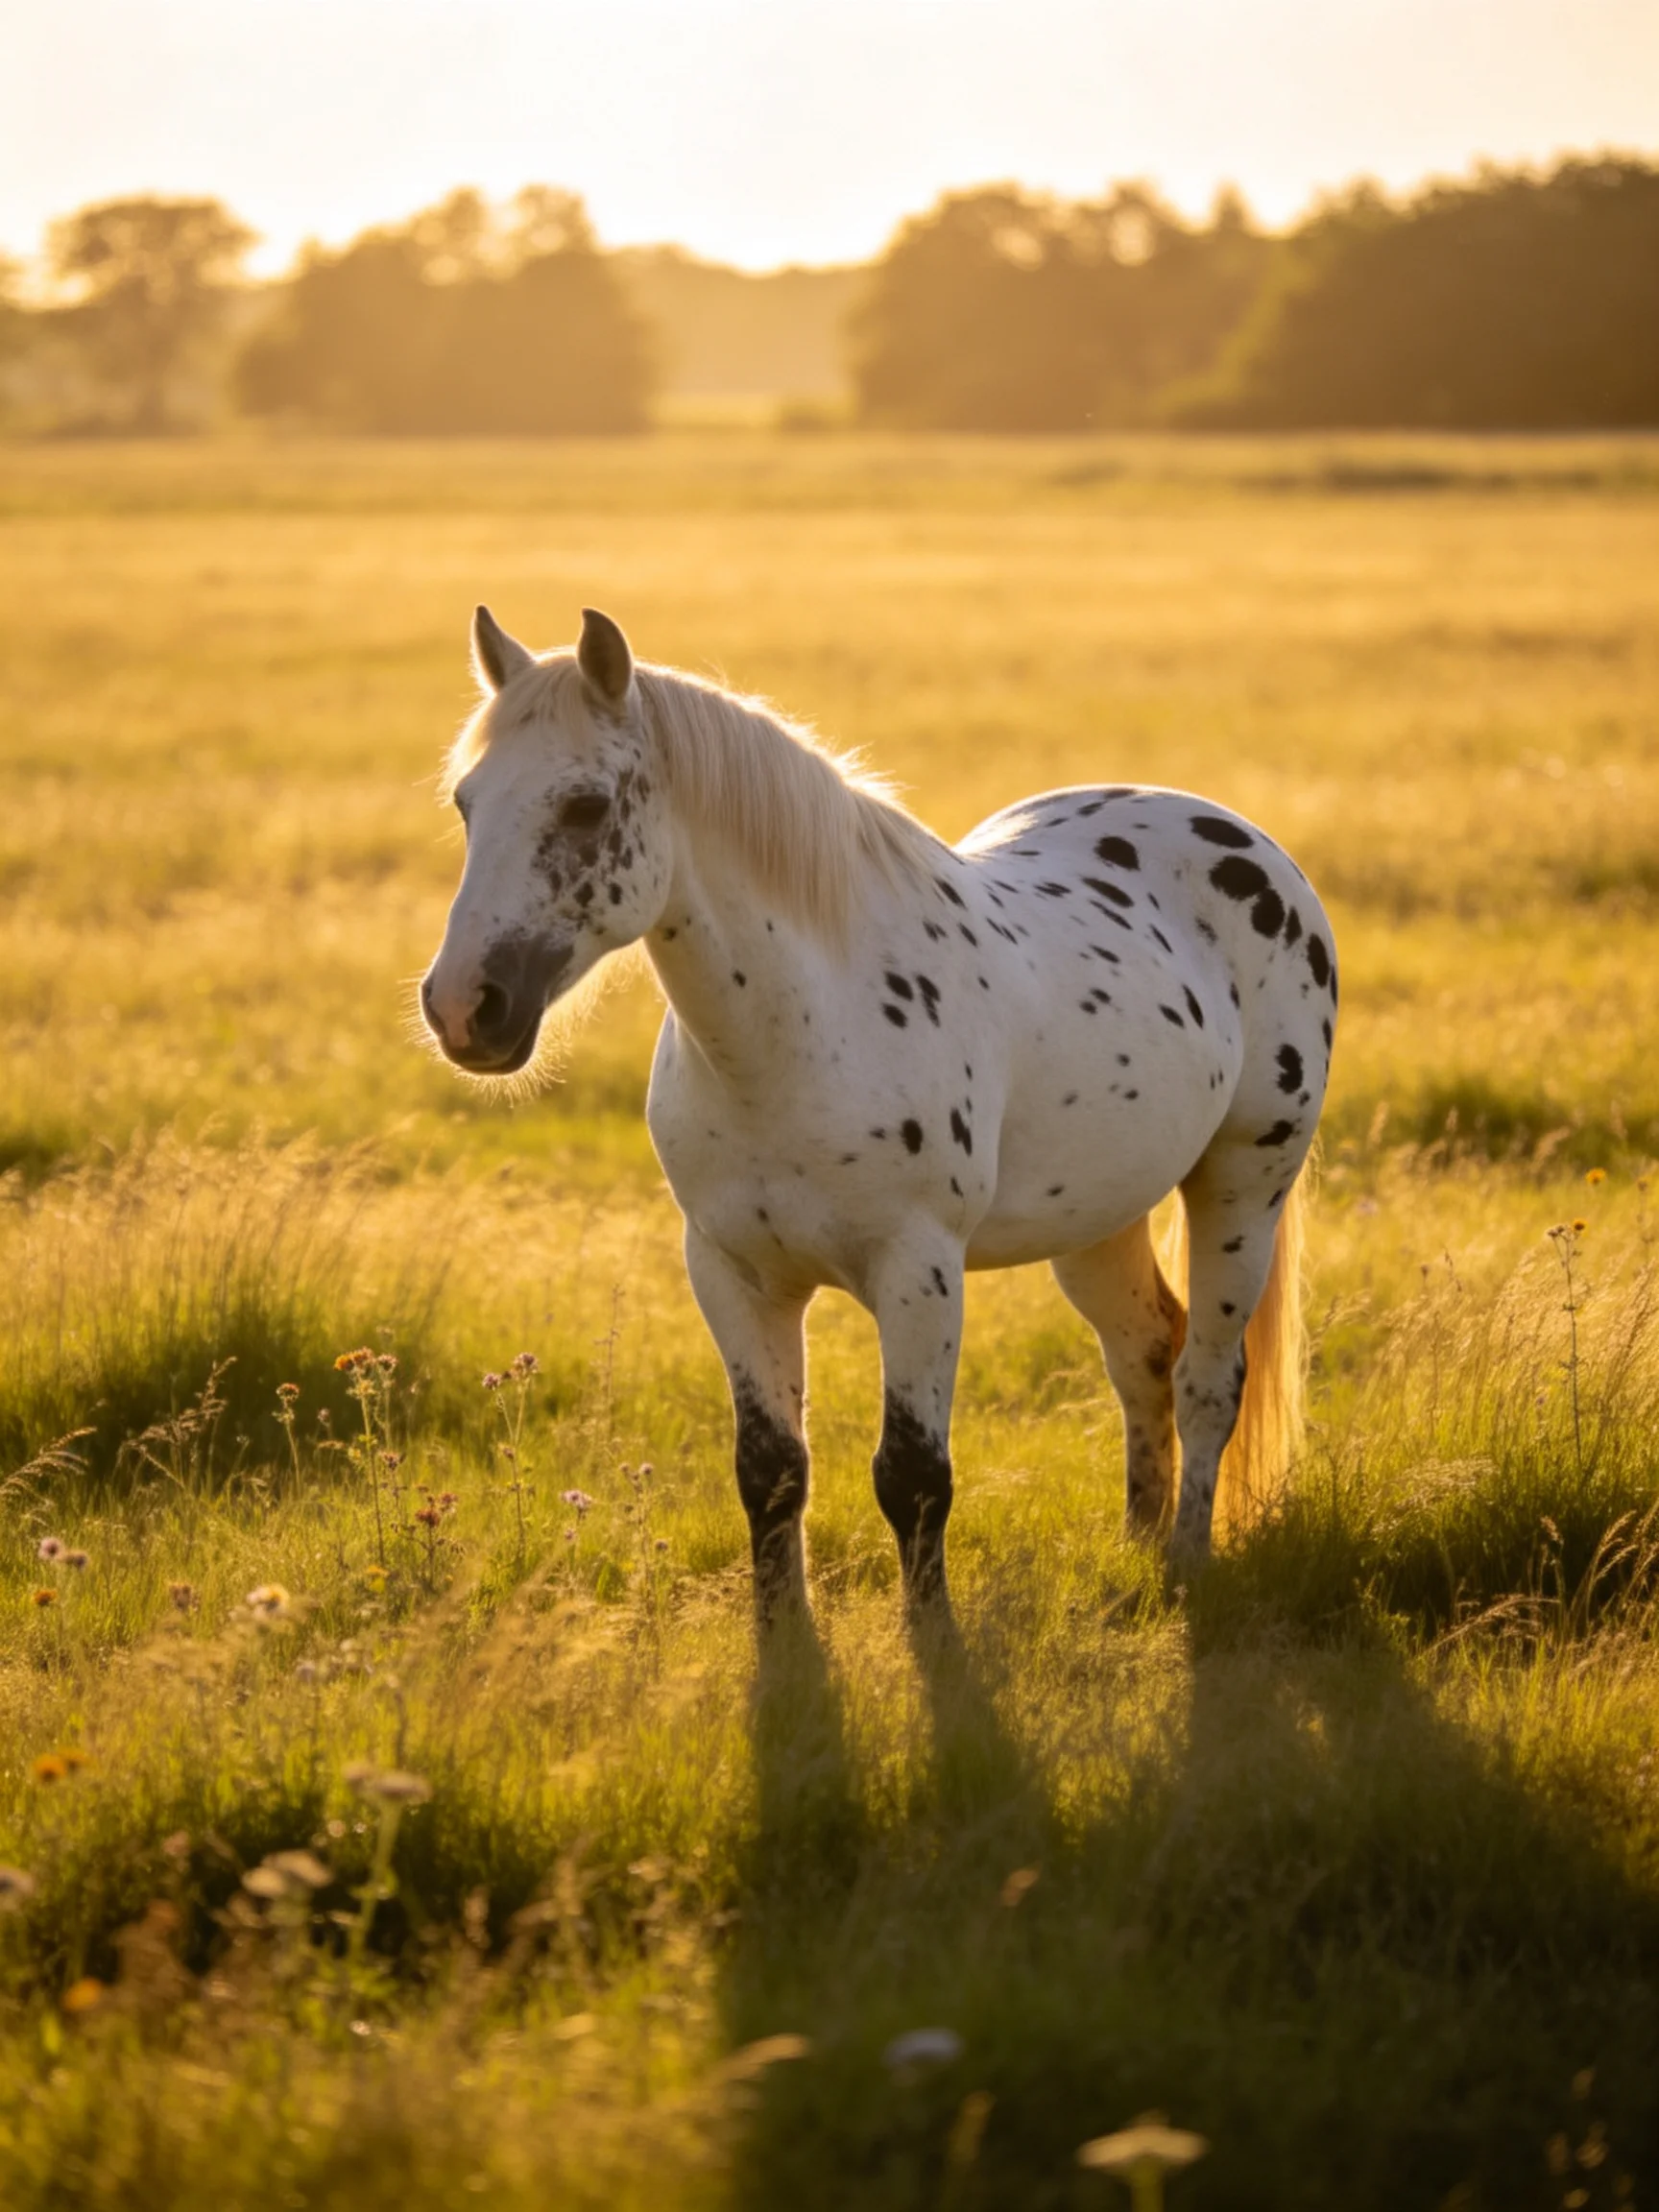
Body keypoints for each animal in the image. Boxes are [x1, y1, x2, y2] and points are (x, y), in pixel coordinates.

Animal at [421, 606, 1337, 1621]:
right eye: (466, 805)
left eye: (584, 807)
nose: (463, 1008)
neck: (799, 1039)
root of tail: (1241, 838)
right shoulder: (733, 1272)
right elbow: (771, 1472)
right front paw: (784, 1638)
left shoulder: (919, 1271)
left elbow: (913, 1476)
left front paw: (931, 1637)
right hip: (1101, 1216)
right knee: (1144, 1353)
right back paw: (1138, 1549)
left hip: (1243, 1187)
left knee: (1208, 1378)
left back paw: (1183, 1564)